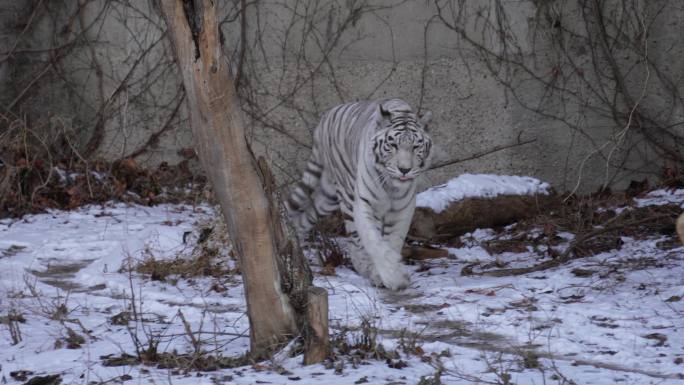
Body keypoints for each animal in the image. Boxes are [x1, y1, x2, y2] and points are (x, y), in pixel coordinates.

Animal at [288, 97, 432, 290]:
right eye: (393, 145)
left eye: (416, 147)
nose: (404, 169)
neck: (391, 186)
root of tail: (326, 117)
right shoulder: (365, 204)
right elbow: (373, 240)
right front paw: (392, 276)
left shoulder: (403, 209)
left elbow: (393, 240)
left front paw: (388, 272)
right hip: (346, 194)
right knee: (355, 241)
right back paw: (364, 266)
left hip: (328, 197)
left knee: (310, 213)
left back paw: (295, 233)